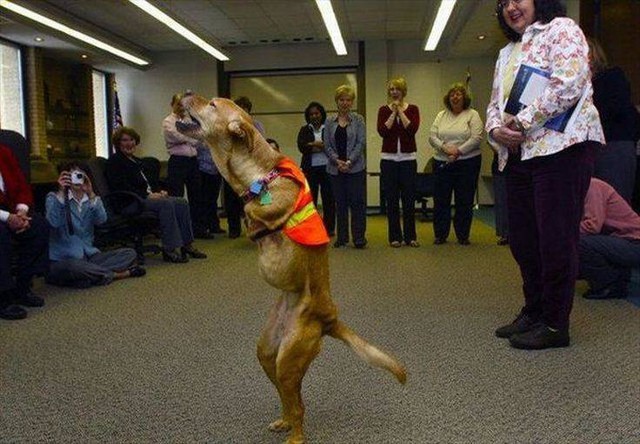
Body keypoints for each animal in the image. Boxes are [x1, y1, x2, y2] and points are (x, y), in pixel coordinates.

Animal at [175, 93, 404, 444]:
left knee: (299, 408)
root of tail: (329, 319)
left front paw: (256, 216)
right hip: (269, 353)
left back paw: (295, 436)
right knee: (290, 399)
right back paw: (283, 421)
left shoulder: (271, 204)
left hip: (288, 359)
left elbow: (256, 210)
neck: (258, 174)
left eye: (212, 104)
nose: (185, 93)